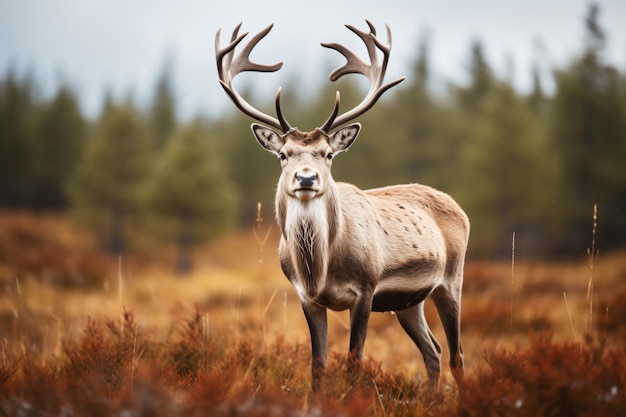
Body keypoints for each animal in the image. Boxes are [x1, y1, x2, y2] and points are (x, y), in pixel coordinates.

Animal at [214, 20, 468, 390]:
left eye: (328, 154)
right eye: (283, 154)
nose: (306, 178)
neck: (319, 269)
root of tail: (458, 207)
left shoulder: (366, 289)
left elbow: (354, 362)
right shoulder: (306, 298)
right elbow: (318, 365)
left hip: (452, 279)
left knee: (457, 355)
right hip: (409, 301)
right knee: (432, 351)